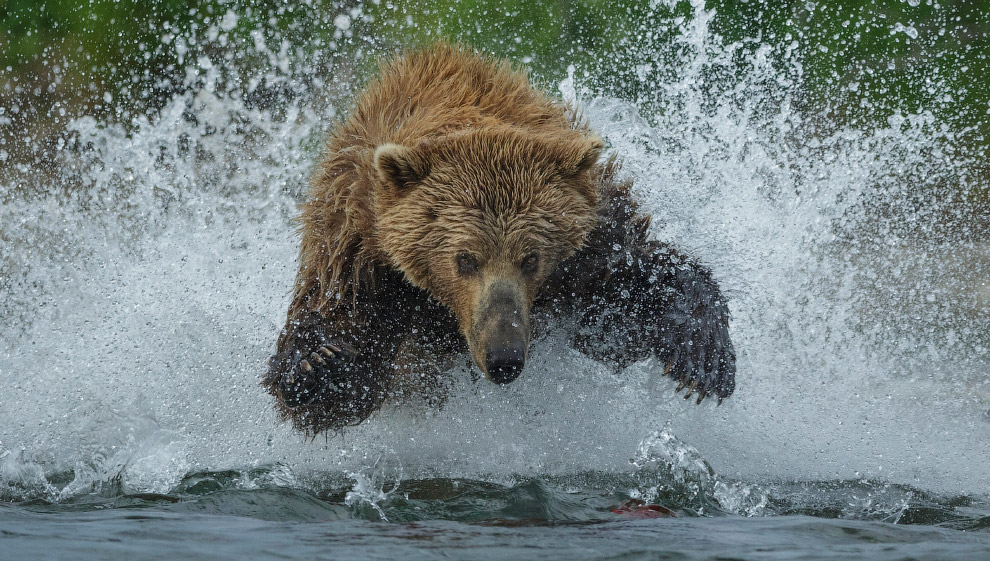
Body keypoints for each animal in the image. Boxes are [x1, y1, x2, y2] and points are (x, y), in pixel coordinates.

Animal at [266, 46, 736, 436]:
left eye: (531, 258)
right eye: (465, 259)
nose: (504, 357)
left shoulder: (591, 243)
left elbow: (626, 298)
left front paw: (703, 356)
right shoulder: (356, 251)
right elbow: (340, 368)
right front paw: (319, 362)